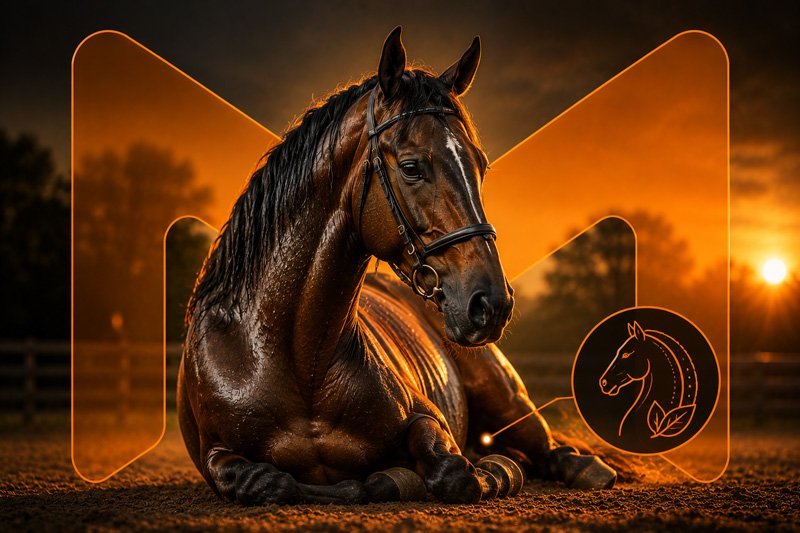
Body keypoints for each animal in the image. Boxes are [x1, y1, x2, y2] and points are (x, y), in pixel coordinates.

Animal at [178, 27, 616, 505]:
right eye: (410, 167)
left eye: (480, 166)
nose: (492, 304)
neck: (296, 361)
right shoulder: (218, 455)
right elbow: (266, 481)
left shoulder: (428, 421)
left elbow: (454, 473)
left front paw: (468, 473)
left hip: (506, 400)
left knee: (553, 452)